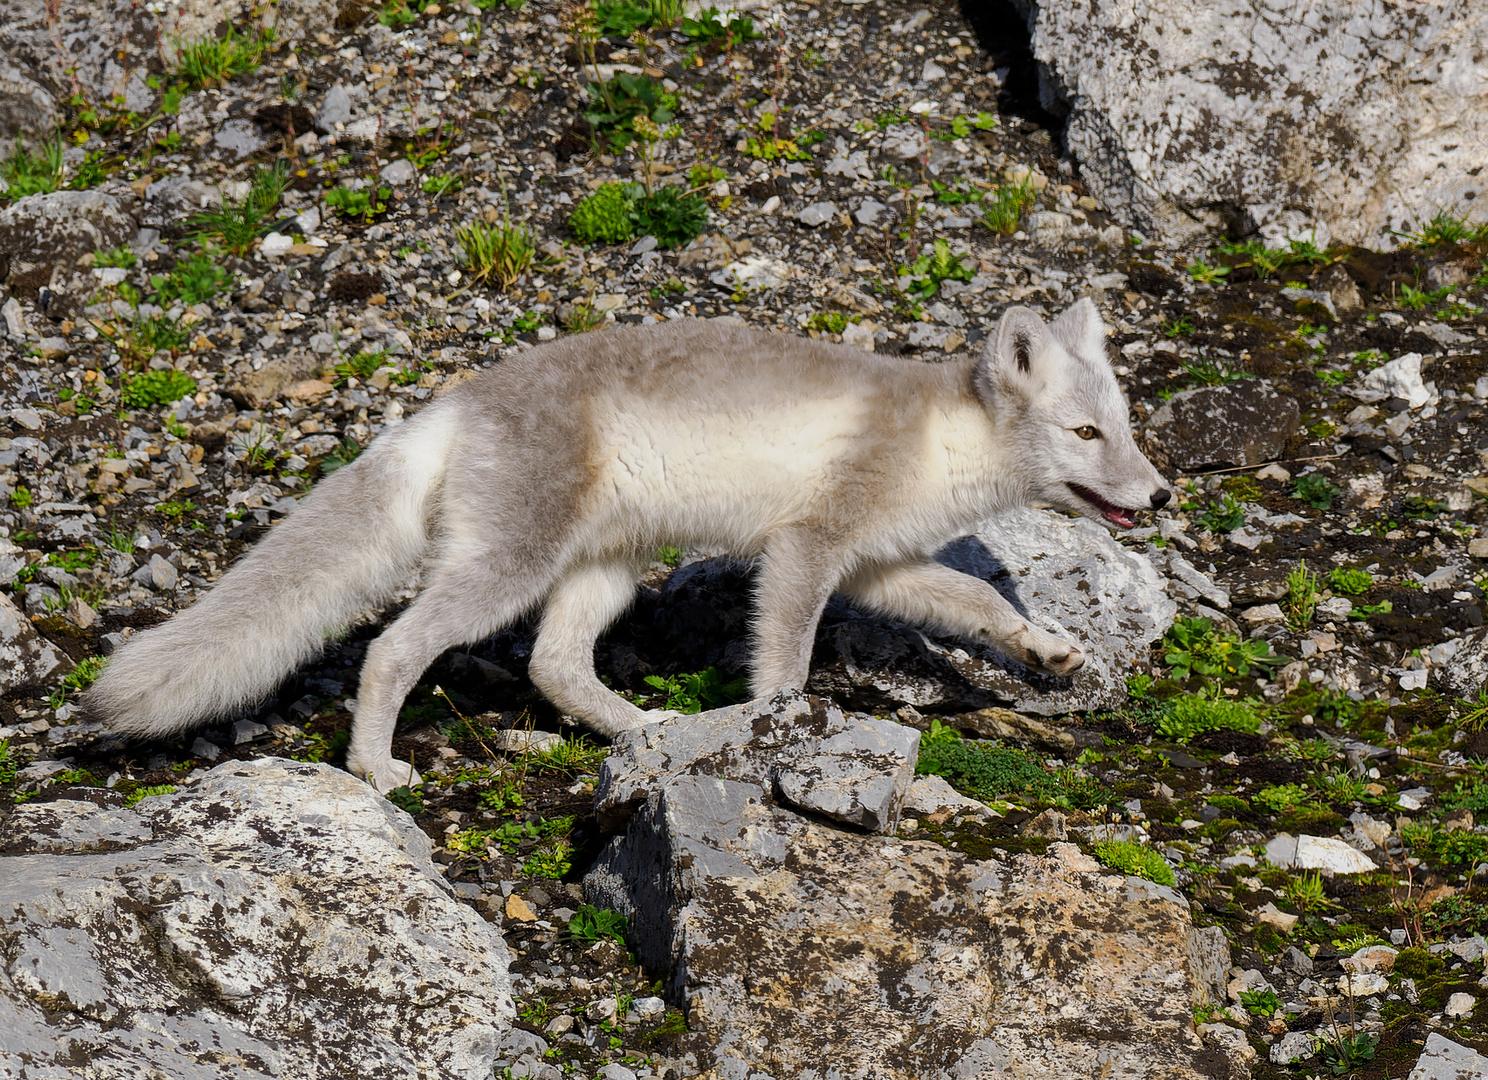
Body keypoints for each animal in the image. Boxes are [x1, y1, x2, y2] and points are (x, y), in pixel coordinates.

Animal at [84, 300, 1172, 791]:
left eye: (1123, 427)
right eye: (1086, 434)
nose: (1161, 495)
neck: (941, 441)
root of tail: (451, 406)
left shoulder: (879, 564)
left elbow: (979, 603)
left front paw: (1049, 649)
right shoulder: (806, 548)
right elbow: (785, 656)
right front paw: (779, 728)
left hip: (602, 574)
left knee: (556, 669)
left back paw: (648, 732)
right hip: (509, 568)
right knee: (395, 648)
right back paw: (376, 769)